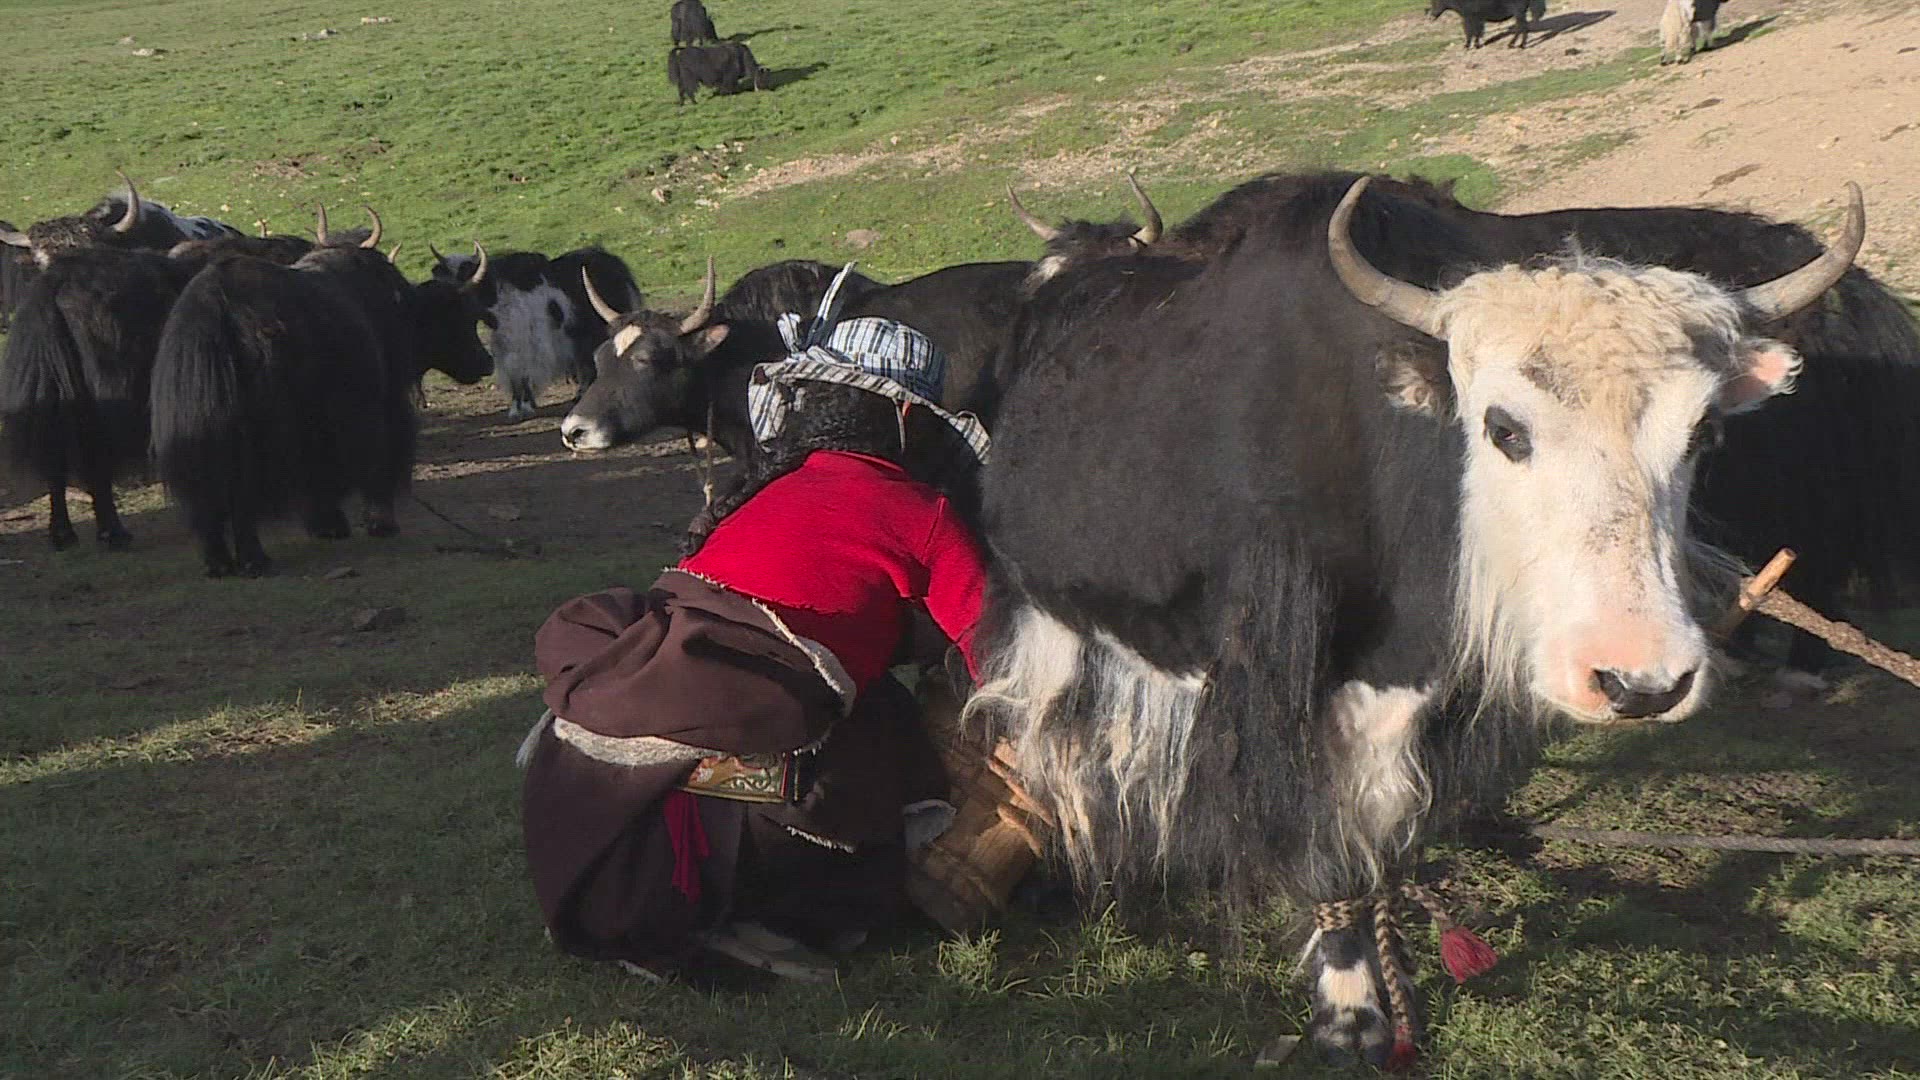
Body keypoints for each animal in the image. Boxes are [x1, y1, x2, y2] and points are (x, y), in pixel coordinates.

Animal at [149, 212, 495, 577]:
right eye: (462, 317)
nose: (486, 362)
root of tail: (214, 311)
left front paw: (328, 525)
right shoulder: (378, 403)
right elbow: (373, 459)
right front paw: (379, 523)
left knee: (207, 497)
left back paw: (218, 563)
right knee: (242, 493)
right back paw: (255, 559)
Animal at [429, 245, 644, 420]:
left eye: (463, 273)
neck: (494, 296)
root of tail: (613, 263)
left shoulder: (522, 346)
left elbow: (521, 376)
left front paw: (522, 409)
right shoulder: (506, 347)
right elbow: (514, 377)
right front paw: (518, 408)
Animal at [962, 170, 1863, 1067]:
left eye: (1702, 431)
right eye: (1504, 427)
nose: (1640, 682)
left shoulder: (1403, 693)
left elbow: (1382, 835)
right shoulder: (1290, 688)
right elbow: (1325, 854)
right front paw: (1350, 1017)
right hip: (1051, 616)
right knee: (1059, 736)